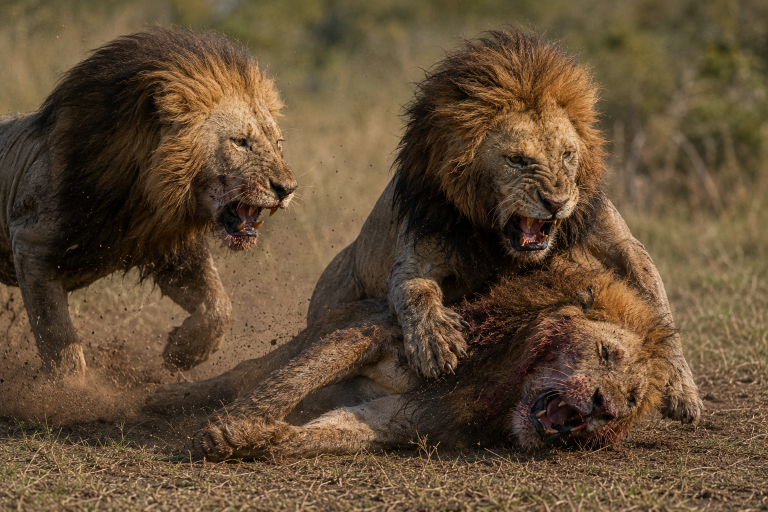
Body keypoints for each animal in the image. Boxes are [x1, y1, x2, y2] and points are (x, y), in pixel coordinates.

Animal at [0, 28, 297, 378]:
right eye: (240, 142)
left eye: (278, 143)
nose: (288, 189)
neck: (144, 199)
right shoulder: (30, 244)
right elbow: (58, 339)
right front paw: (72, 390)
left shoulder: (172, 251)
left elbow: (220, 307)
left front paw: (181, 353)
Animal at [191, 265, 677, 461]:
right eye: (606, 353)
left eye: (631, 400)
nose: (603, 406)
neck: (499, 382)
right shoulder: (385, 337)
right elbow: (293, 380)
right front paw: (231, 429)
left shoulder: (403, 420)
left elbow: (329, 432)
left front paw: (259, 439)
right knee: (249, 372)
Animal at [303, 29, 701, 423]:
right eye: (517, 160)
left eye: (567, 155)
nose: (556, 202)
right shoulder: (419, 251)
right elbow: (413, 290)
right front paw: (435, 345)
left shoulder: (618, 241)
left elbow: (657, 302)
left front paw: (681, 390)